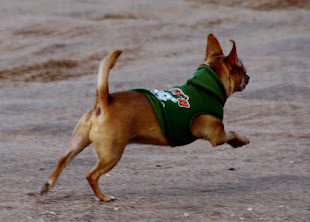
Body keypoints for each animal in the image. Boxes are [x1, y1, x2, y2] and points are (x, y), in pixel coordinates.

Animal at [40, 34, 249, 201]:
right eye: (243, 70)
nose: (249, 77)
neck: (206, 86)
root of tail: (104, 100)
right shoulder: (216, 136)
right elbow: (231, 132)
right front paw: (240, 140)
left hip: (78, 144)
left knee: (63, 160)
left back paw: (48, 185)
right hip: (111, 154)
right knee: (91, 175)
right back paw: (103, 197)